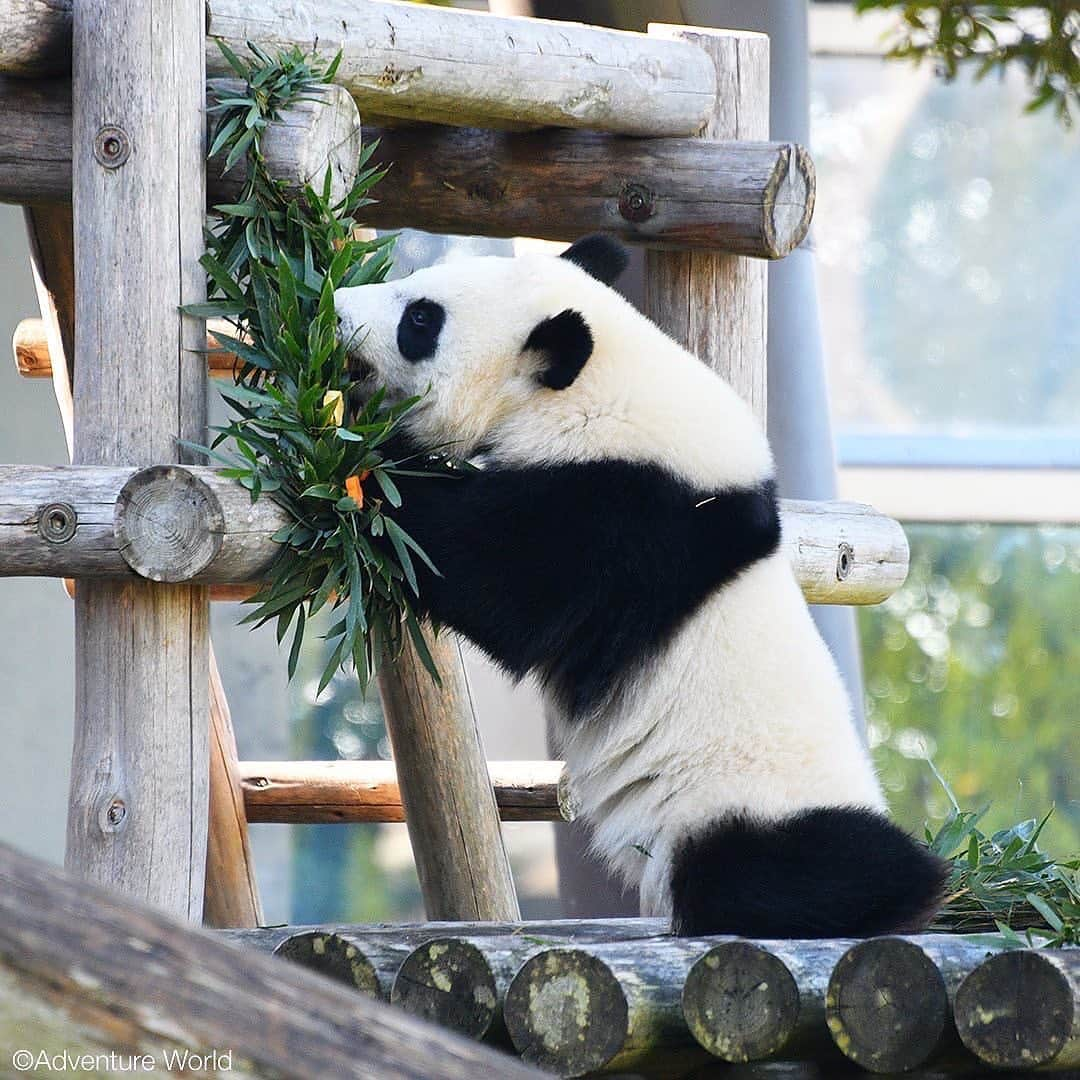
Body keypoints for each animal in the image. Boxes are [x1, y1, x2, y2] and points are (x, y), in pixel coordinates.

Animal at [334, 236, 946, 937]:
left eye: (420, 320)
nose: (337, 304)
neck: (606, 384)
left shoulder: (623, 517)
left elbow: (485, 576)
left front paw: (357, 455)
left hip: (748, 811)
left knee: (800, 872)